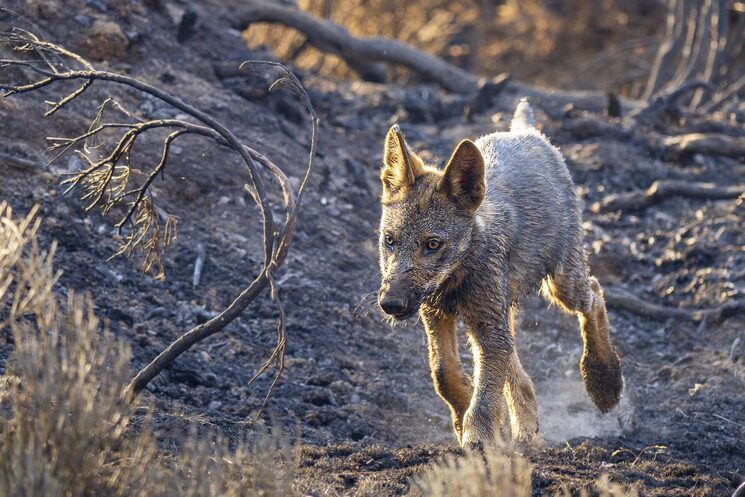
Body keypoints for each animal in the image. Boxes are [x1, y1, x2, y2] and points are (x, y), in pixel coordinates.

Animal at [376, 99, 623, 447]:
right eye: (390, 240)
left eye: (432, 244)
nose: (390, 303)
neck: (456, 280)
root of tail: (524, 131)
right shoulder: (436, 313)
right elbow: (444, 374)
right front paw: (464, 417)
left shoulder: (486, 325)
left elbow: (485, 396)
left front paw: (478, 443)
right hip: (503, 308)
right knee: (521, 376)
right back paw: (526, 432)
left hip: (562, 284)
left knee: (596, 294)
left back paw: (604, 382)